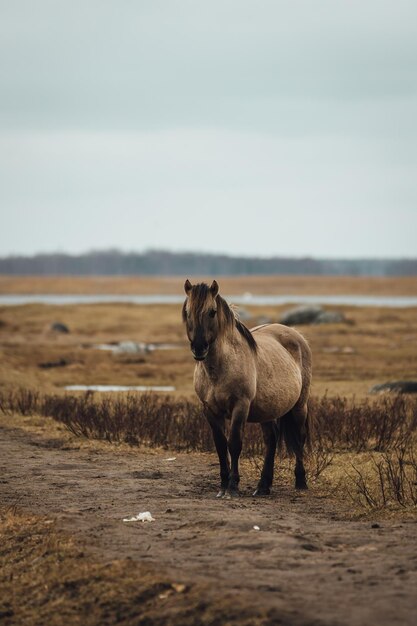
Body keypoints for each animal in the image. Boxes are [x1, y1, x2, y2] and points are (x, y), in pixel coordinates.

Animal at [182, 278, 312, 498]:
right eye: (187, 312)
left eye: (212, 312)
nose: (199, 348)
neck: (219, 368)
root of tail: (296, 335)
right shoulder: (209, 410)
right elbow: (220, 445)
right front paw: (223, 486)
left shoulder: (240, 406)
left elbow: (234, 444)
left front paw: (232, 487)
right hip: (267, 410)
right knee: (271, 440)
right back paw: (263, 486)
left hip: (299, 406)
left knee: (299, 438)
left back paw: (301, 481)